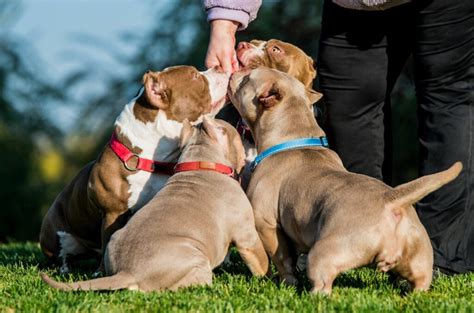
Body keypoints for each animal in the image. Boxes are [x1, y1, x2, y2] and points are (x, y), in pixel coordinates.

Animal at [39, 66, 230, 272]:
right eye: (195, 76)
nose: (220, 66)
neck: (152, 160)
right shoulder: (112, 213)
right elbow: (107, 241)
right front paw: (102, 272)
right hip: (54, 235)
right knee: (64, 255)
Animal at [39, 116, 270, 292]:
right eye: (236, 135)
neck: (201, 162)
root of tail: (127, 271)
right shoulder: (247, 235)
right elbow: (261, 260)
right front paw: (266, 278)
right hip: (195, 256)